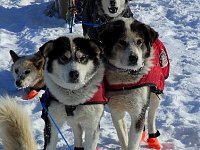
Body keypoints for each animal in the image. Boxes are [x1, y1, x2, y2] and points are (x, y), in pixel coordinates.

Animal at [99, 17, 170, 149]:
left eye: (139, 41)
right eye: (122, 42)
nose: (134, 58)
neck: (125, 81)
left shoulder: (138, 112)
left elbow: (133, 141)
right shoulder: (116, 110)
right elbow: (123, 136)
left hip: (156, 92)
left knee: (151, 115)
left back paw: (153, 138)